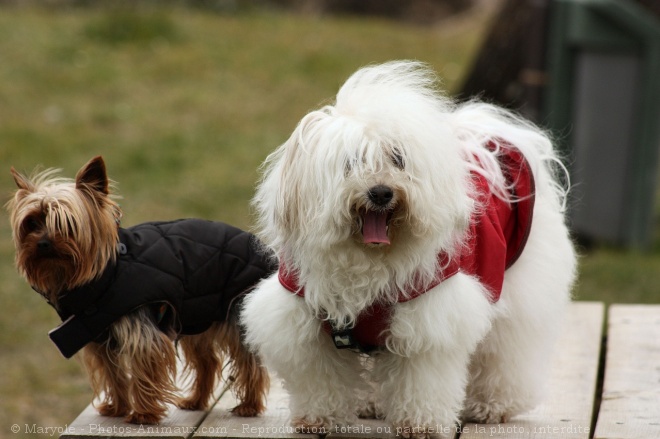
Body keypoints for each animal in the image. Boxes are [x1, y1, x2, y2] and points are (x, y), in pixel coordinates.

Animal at [240, 60, 576, 438]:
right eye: (352, 162)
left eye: (398, 159)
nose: (381, 192)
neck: (367, 259)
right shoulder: (303, 321)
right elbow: (321, 378)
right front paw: (318, 417)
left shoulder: (430, 319)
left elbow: (422, 379)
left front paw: (422, 423)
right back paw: (372, 403)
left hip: (519, 291)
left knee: (507, 354)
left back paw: (492, 405)